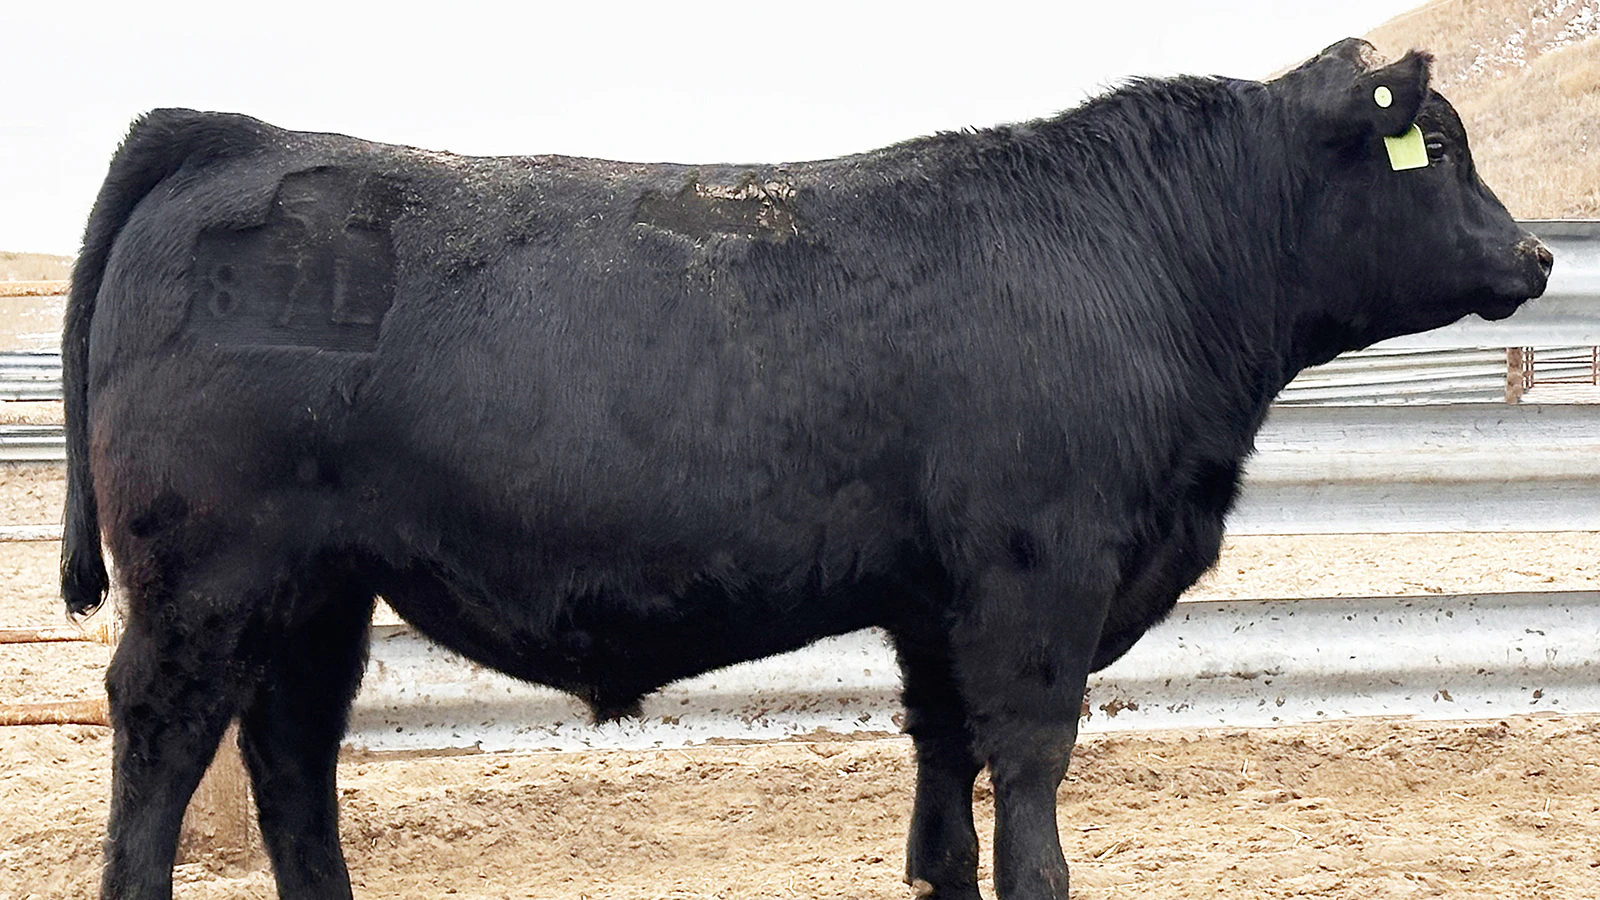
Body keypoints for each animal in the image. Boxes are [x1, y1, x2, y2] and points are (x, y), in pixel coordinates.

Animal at [63, 38, 1548, 900]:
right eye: (1441, 147)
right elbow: (1031, 766)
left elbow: (947, 778)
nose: (1537, 255)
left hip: (318, 587)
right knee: (163, 738)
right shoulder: (1040, 576)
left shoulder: (939, 602)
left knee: (291, 752)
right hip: (209, 578)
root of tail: (238, 134)